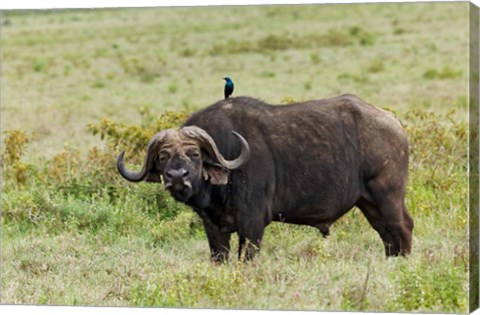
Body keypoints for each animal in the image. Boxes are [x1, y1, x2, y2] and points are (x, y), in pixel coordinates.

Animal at [116, 95, 412, 262]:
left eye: (194, 154)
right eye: (163, 156)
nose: (177, 176)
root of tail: (395, 124)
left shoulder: (253, 223)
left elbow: (247, 259)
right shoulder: (213, 227)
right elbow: (219, 258)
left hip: (388, 195)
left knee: (402, 227)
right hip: (368, 203)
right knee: (387, 235)